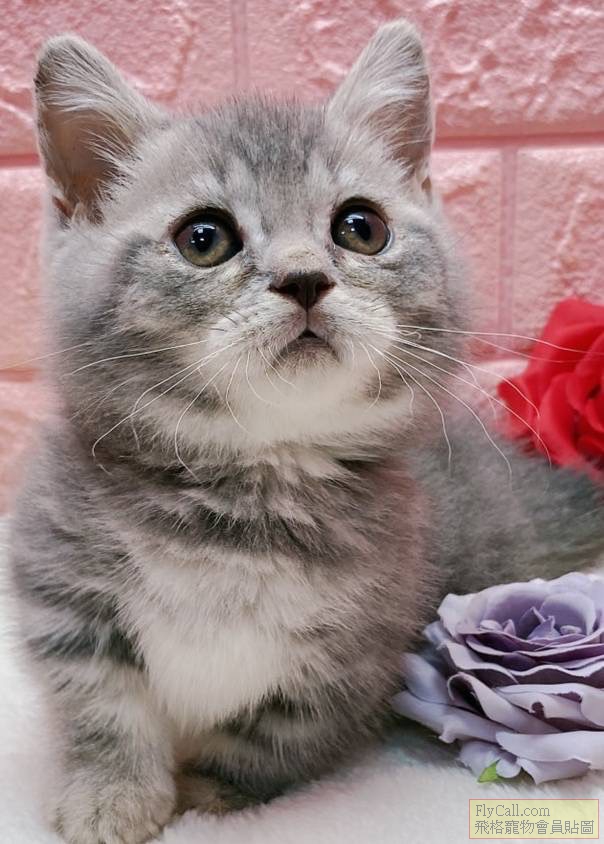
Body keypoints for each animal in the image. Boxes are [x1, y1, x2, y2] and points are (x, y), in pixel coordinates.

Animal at [7, 17, 603, 844]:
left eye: (361, 227)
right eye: (203, 238)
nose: (304, 278)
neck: (251, 484)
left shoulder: (363, 644)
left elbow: (280, 732)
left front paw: (214, 795)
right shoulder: (60, 585)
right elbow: (101, 705)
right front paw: (110, 793)